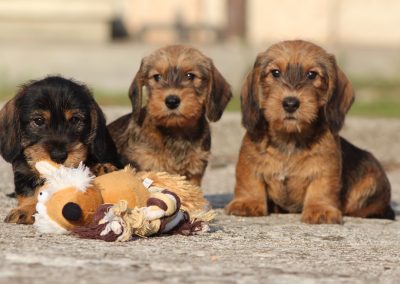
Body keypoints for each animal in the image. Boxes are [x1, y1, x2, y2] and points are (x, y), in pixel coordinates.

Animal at [0, 76, 120, 224]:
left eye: (75, 119)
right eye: (38, 120)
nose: (59, 156)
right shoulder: (23, 172)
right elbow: (30, 191)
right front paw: (26, 208)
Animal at [225, 40, 394, 223]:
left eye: (312, 75)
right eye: (275, 72)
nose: (290, 103)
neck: (290, 139)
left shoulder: (326, 170)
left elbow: (321, 189)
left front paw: (320, 209)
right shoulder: (248, 164)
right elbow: (250, 183)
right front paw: (247, 203)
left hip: (372, 178)